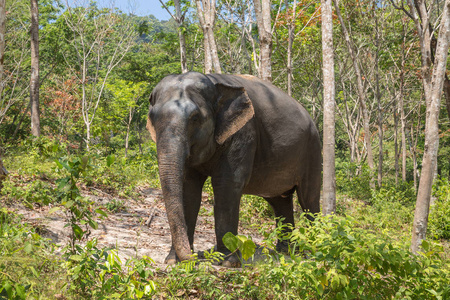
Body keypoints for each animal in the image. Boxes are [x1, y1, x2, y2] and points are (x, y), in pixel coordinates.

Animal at [146, 71, 322, 266]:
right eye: (152, 117)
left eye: (195, 117)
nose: (197, 257)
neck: (213, 81)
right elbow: (188, 189)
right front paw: (173, 260)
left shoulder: (244, 132)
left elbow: (227, 185)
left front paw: (227, 262)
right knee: (280, 202)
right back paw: (285, 252)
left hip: (313, 150)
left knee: (309, 200)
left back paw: (314, 250)